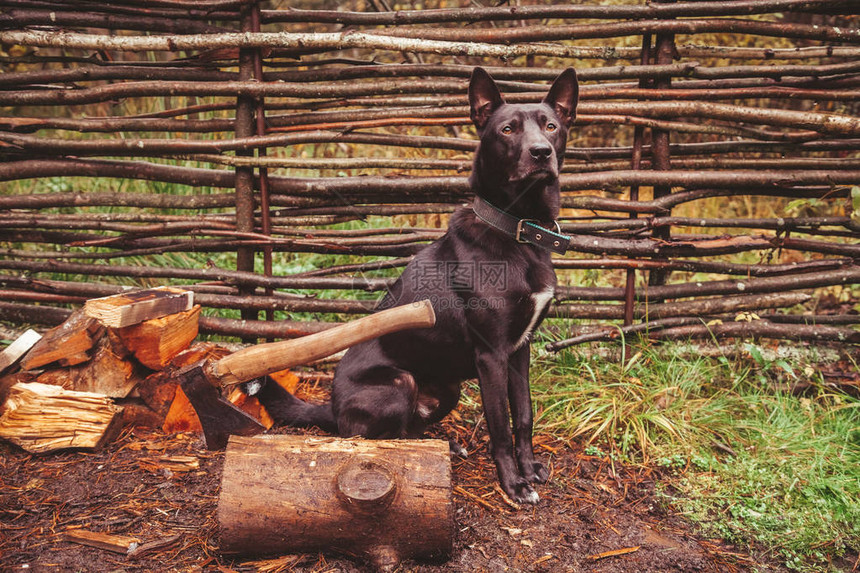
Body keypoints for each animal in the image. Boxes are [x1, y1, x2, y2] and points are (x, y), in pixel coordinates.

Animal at [249, 67, 576, 502]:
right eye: (507, 129)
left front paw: (530, 468)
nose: (541, 153)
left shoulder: (519, 350)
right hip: (399, 382)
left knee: (409, 429)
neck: (517, 232)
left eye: (551, 126)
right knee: (374, 438)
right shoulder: (491, 355)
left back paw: (445, 444)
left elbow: (523, 415)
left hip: (448, 388)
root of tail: (331, 407)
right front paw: (513, 483)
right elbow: (501, 428)